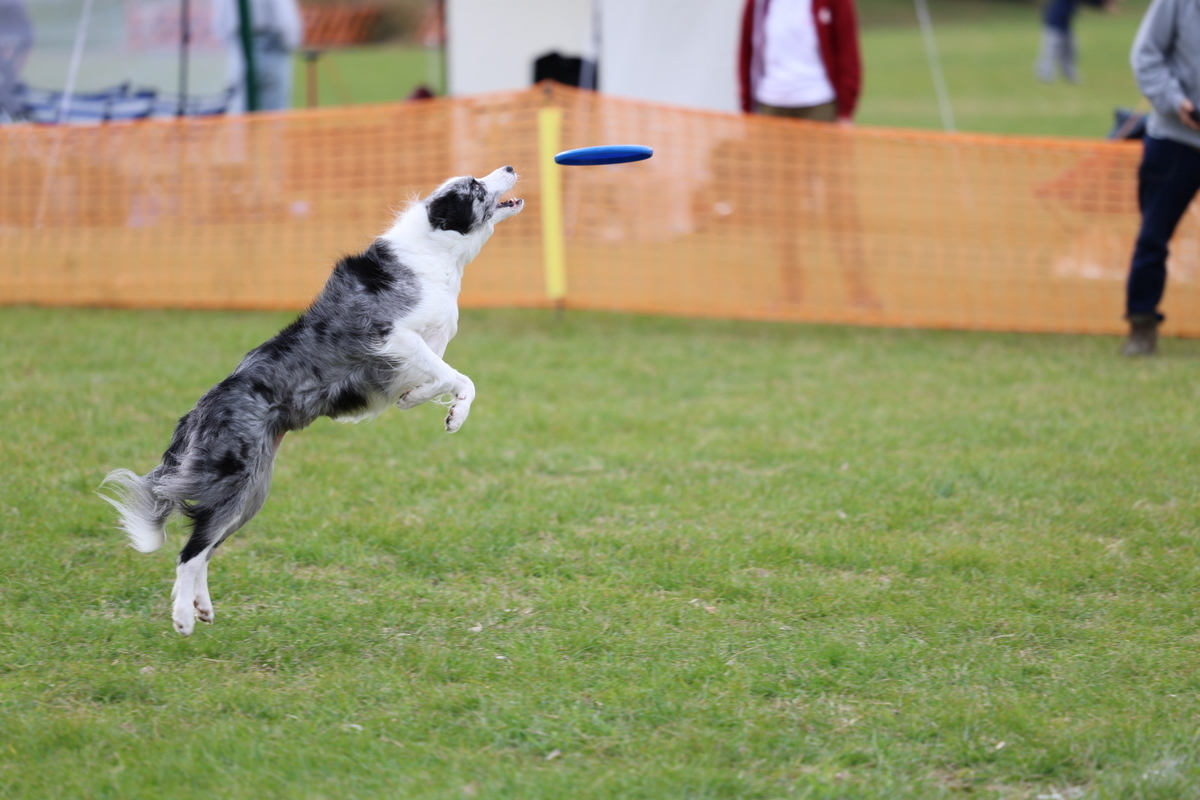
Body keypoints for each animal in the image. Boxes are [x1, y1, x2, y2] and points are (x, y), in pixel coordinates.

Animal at [99, 166, 524, 636]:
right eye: (475, 188)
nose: (508, 167)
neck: (436, 252)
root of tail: (199, 410)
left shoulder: (412, 358)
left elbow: (430, 384)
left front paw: (422, 401)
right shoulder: (393, 337)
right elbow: (463, 379)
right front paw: (457, 415)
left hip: (252, 492)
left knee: (205, 546)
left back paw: (201, 607)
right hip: (235, 480)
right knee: (189, 551)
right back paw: (182, 618)